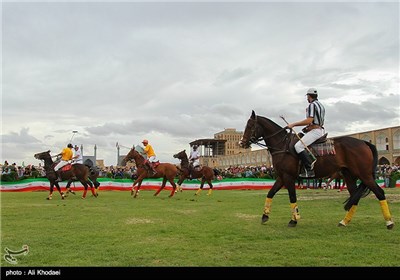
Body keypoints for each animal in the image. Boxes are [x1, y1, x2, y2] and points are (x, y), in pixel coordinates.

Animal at [241, 110, 394, 230]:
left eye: (250, 125)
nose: (242, 143)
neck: (282, 145)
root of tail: (364, 142)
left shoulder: (289, 177)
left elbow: (292, 197)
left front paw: (294, 220)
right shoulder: (281, 177)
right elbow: (270, 193)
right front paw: (264, 216)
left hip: (364, 174)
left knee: (379, 193)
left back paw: (389, 222)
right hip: (349, 175)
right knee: (354, 197)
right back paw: (344, 222)